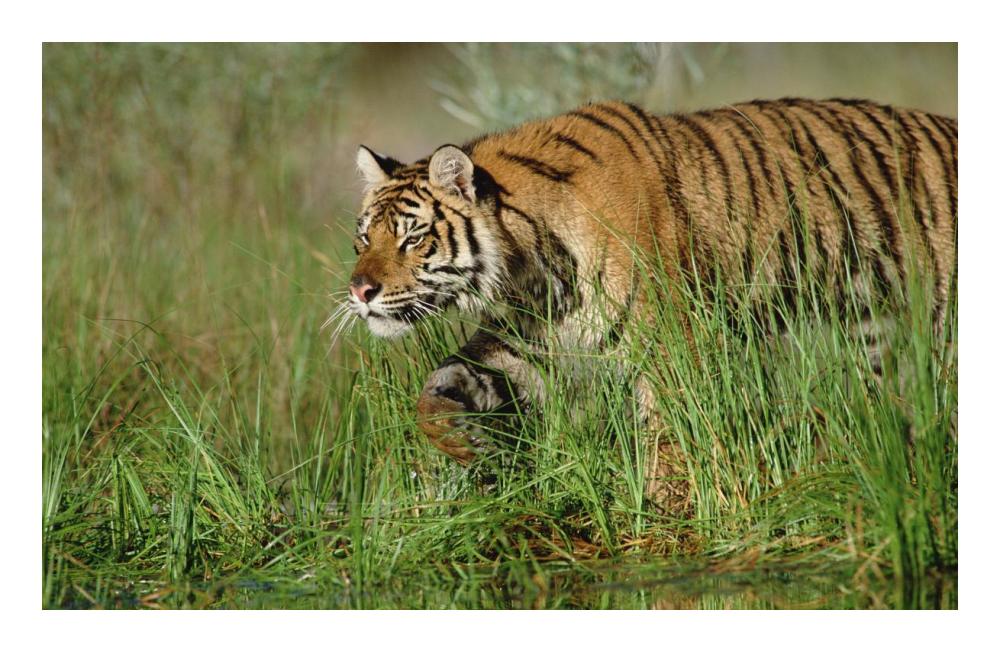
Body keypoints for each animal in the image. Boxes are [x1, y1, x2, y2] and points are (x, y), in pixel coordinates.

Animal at [340, 98, 957, 499]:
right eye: (365, 237)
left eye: (412, 238)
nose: (360, 291)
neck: (532, 273)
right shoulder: (530, 341)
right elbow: (438, 388)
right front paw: (466, 446)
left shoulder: (673, 347)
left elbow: (674, 445)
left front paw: (670, 517)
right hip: (879, 339)